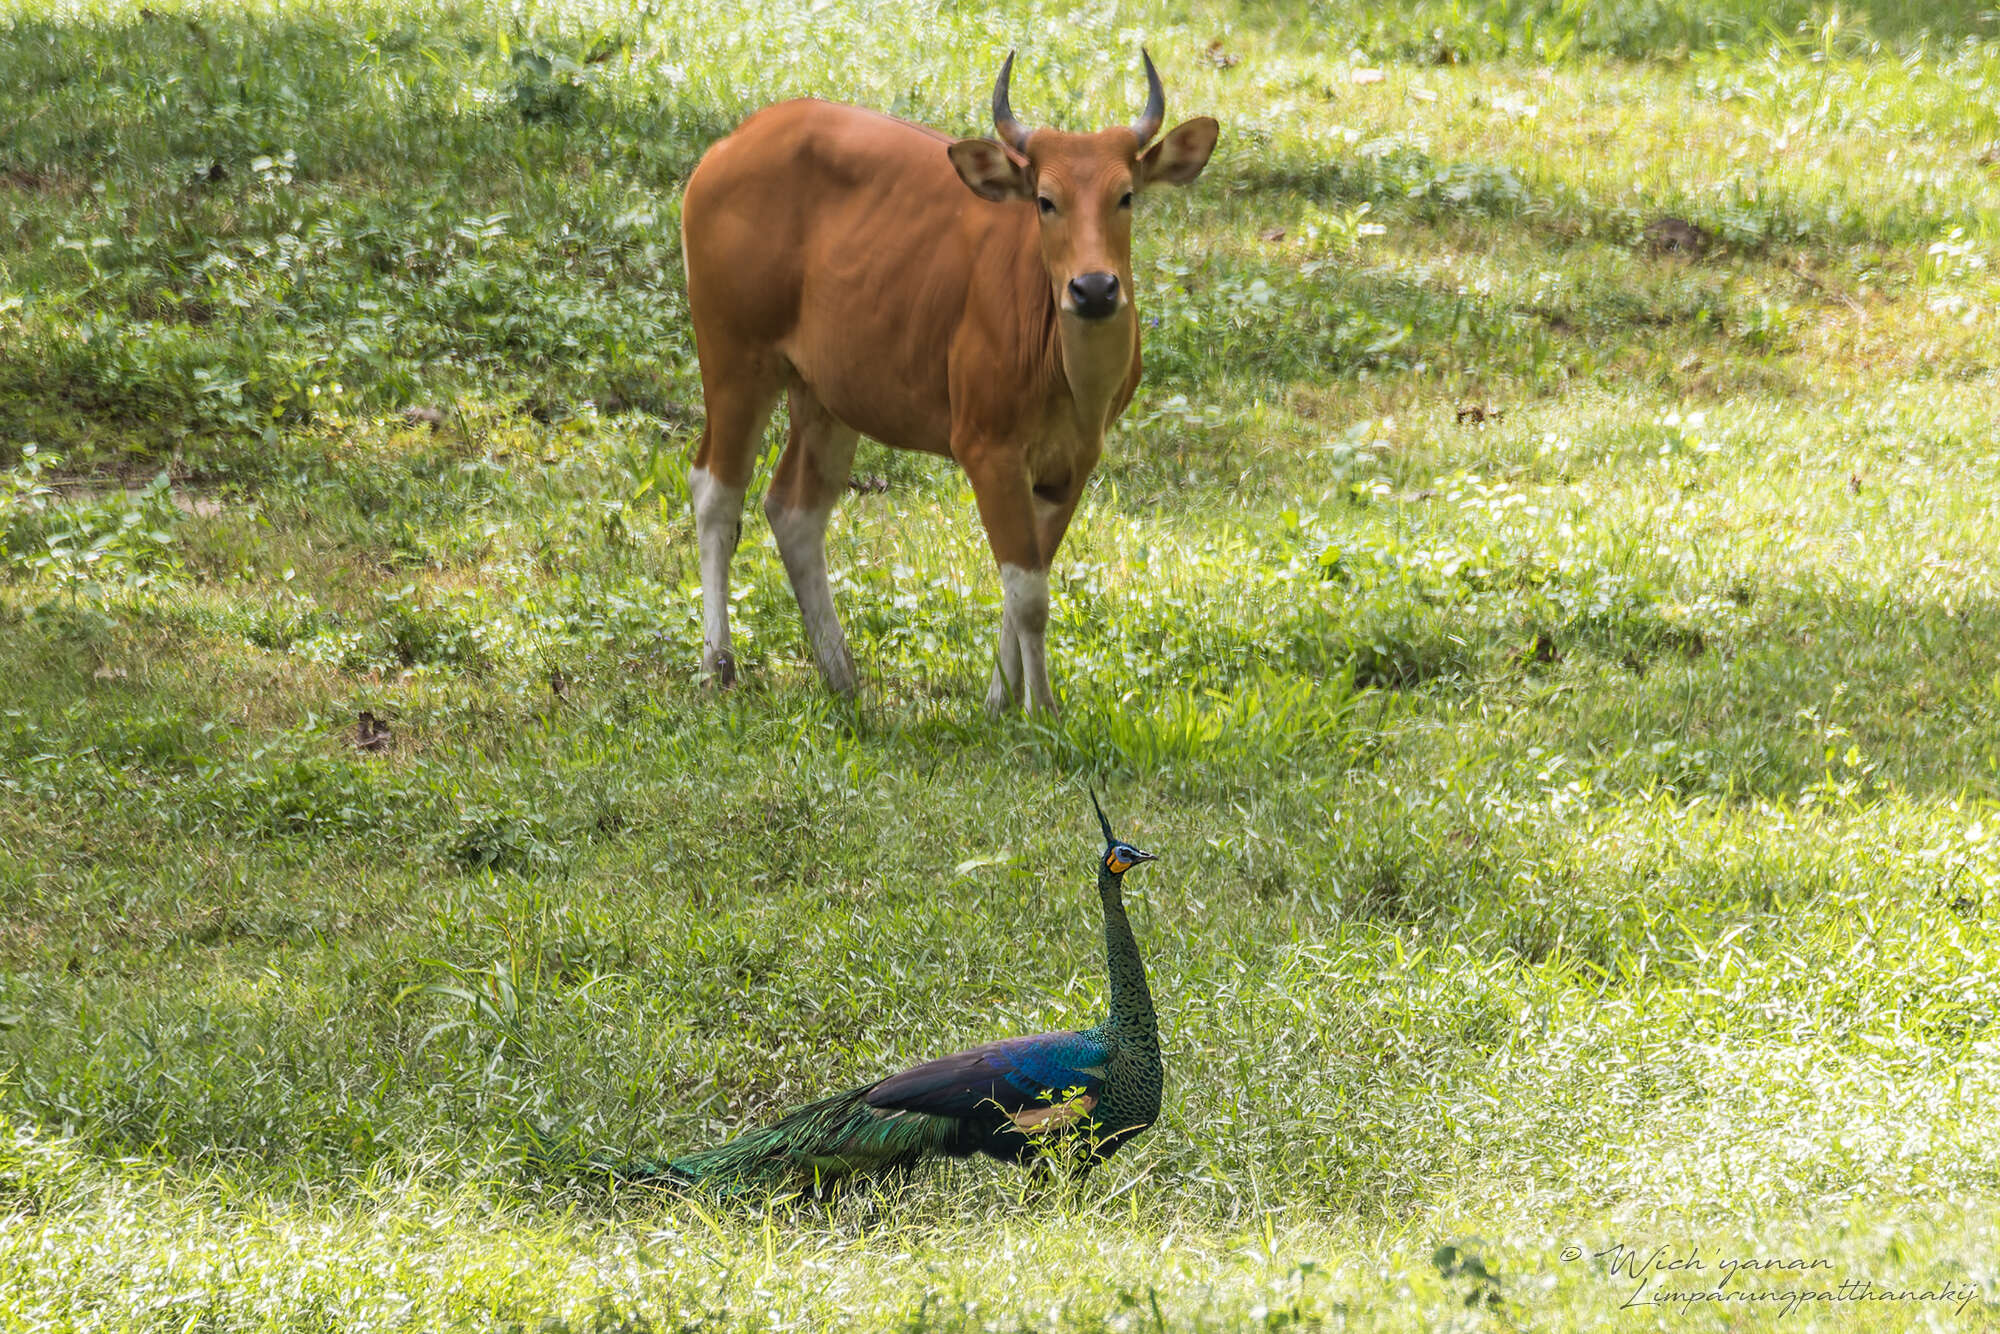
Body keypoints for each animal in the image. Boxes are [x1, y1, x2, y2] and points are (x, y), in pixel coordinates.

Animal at [684, 51, 1216, 716]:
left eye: (1126, 197)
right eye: (1046, 200)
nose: (1094, 288)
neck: (1064, 374)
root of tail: (729, 145)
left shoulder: (1073, 462)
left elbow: (1029, 578)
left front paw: (999, 700)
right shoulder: (986, 447)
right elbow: (1029, 595)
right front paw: (1040, 709)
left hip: (826, 391)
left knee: (794, 510)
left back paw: (840, 672)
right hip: (734, 357)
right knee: (715, 492)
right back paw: (717, 664)